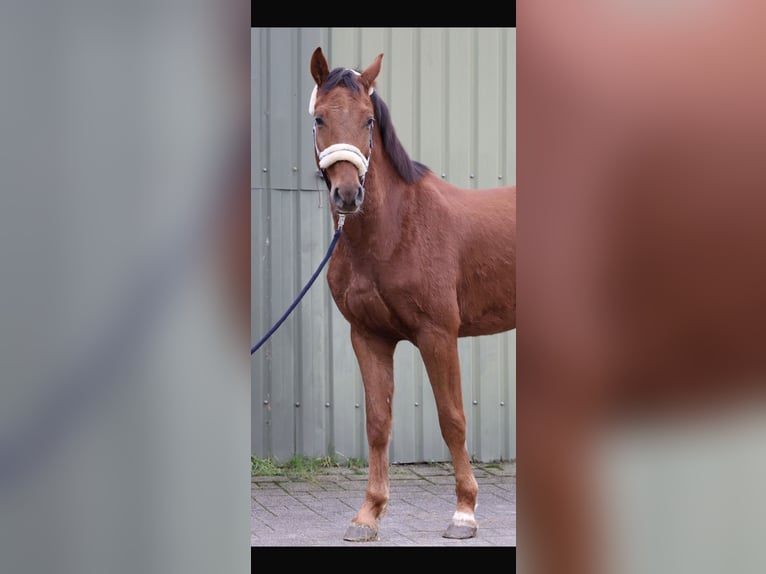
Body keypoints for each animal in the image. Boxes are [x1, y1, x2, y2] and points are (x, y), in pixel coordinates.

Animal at [308, 46, 520, 544]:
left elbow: (452, 419)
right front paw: (368, 514)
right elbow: (378, 423)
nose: (348, 195)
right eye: (320, 118)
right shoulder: (369, 337)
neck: (395, 230)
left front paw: (464, 514)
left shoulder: (437, 335)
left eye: (368, 120)